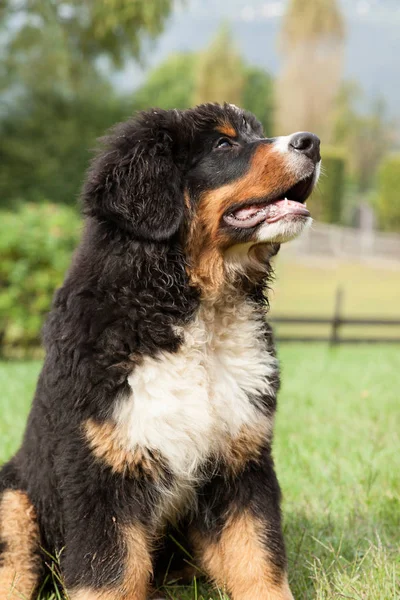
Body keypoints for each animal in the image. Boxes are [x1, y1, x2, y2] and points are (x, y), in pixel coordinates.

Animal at [0, 104, 318, 600]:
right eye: (223, 143)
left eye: (257, 133)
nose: (313, 143)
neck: (194, 313)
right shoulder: (100, 469)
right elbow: (111, 575)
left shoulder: (241, 459)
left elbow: (258, 558)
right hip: (14, 503)